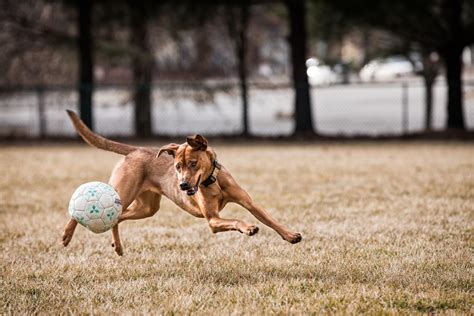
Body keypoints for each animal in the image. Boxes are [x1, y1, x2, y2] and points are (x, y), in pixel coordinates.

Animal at [63, 110, 302, 256]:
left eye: (193, 164)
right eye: (177, 166)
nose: (183, 186)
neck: (212, 181)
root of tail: (135, 150)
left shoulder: (250, 203)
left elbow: (270, 219)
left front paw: (290, 235)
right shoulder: (213, 220)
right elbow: (235, 219)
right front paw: (248, 227)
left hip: (146, 207)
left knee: (118, 218)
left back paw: (118, 247)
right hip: (121, 192)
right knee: (81, 209)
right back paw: (67, 235)